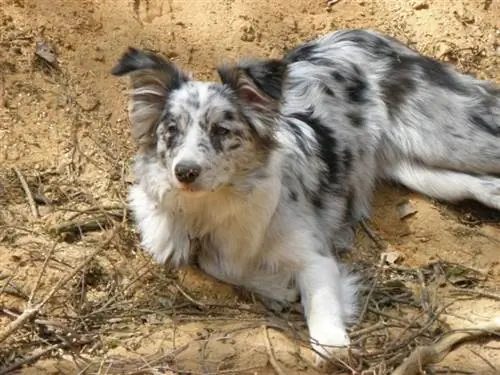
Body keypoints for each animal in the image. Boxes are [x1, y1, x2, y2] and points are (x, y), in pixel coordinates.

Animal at [113, 29, 500, 362]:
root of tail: (363, 35)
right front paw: (276, 286)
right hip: (421, 170)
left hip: (451, 141)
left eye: (222, 131)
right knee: (480, 184)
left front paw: (329, 339)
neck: (217, 202)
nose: (185, 172)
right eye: (171, 131)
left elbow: (324, 320)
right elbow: (215, 262)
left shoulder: (315, 257)